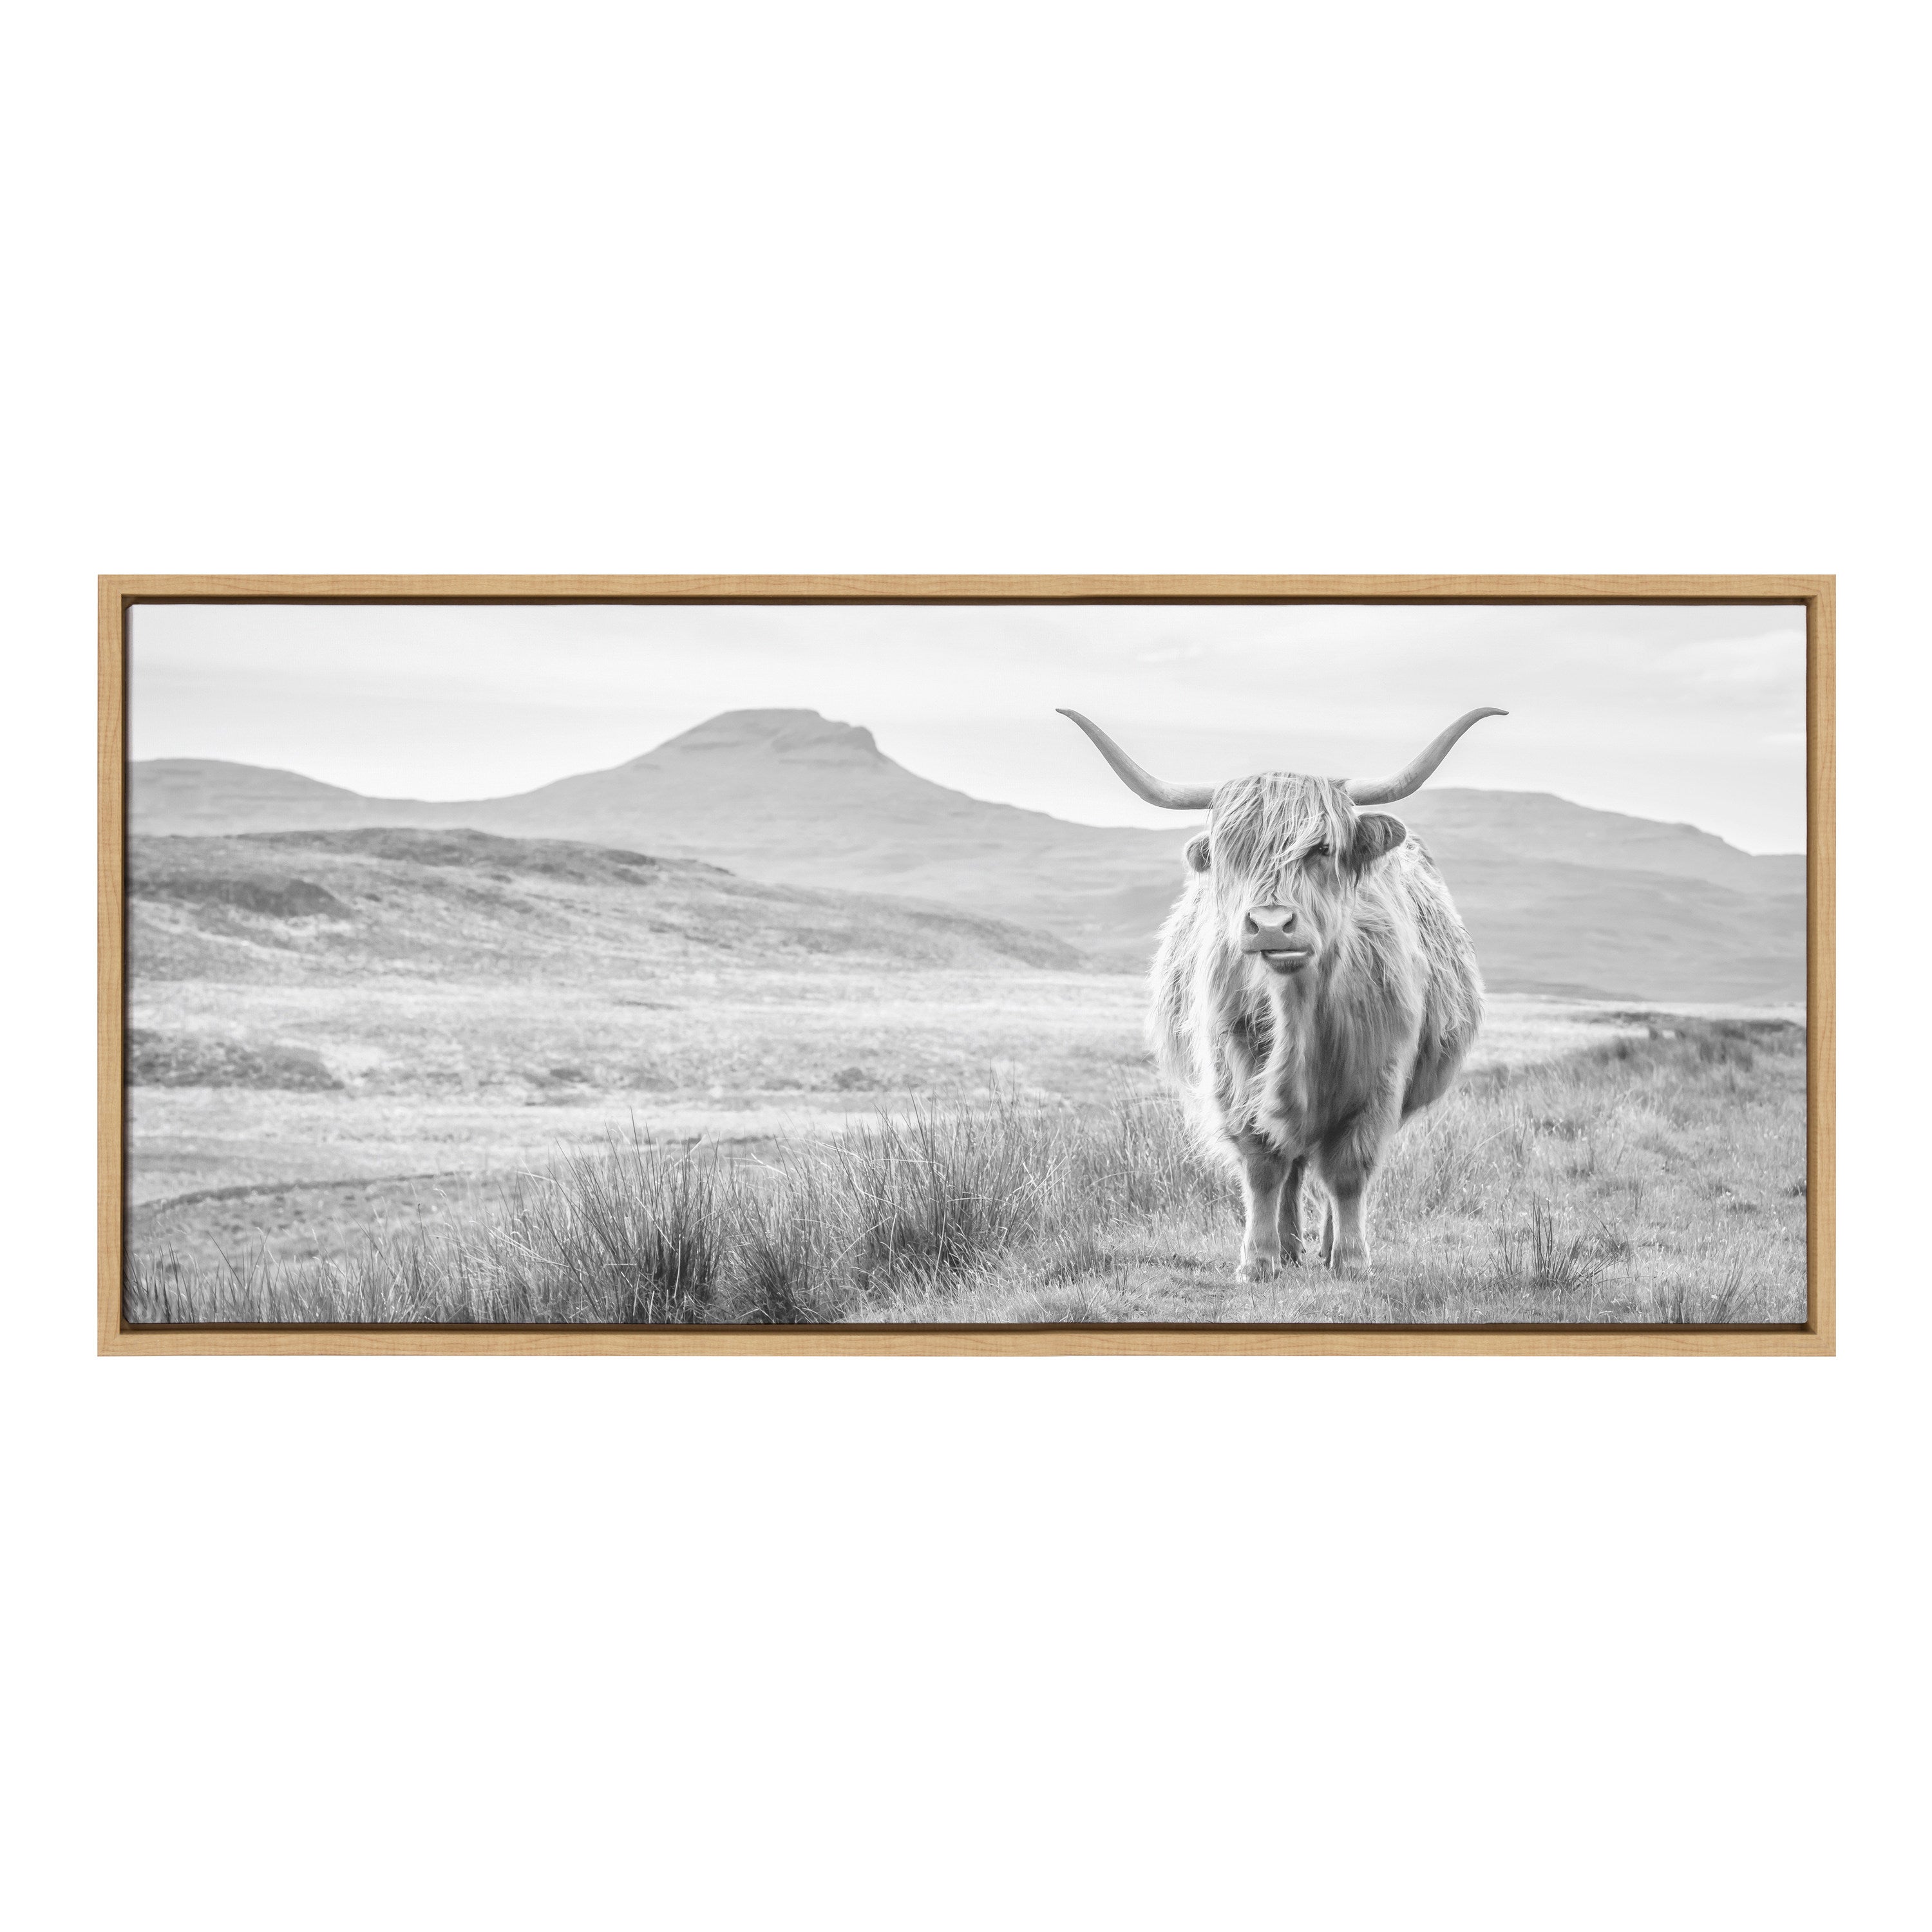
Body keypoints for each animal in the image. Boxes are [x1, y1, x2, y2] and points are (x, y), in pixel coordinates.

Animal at [1059, 706, 1505, 1281]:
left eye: (1322, 849)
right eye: (1230, 852)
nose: (1270, 926)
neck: (1297, 1011)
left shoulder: (1380, 1079)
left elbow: (1349, 1170)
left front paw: (1352, 1260)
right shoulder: (1233, 1069)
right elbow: (1263, 1164)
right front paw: (1259, 1260)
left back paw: (1327, 1245)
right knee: (1290, 1164)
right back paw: (1291, 1246)